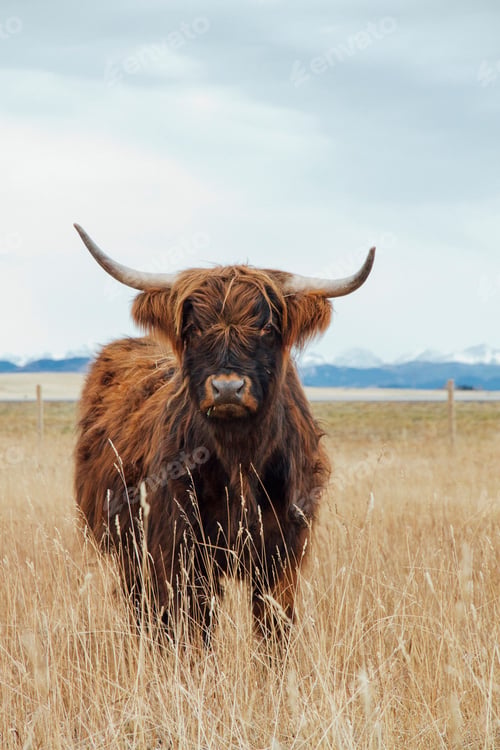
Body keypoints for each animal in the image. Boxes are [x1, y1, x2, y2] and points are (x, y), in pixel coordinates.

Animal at [73, 224, 375, 642]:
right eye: (194, 327)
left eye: (267, 326)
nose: (228, 388)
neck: (240, 457)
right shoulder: (179, 548)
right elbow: (195, 624)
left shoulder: (283, 549)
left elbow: (274, 627)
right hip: (127, 547)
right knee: (145, 611)